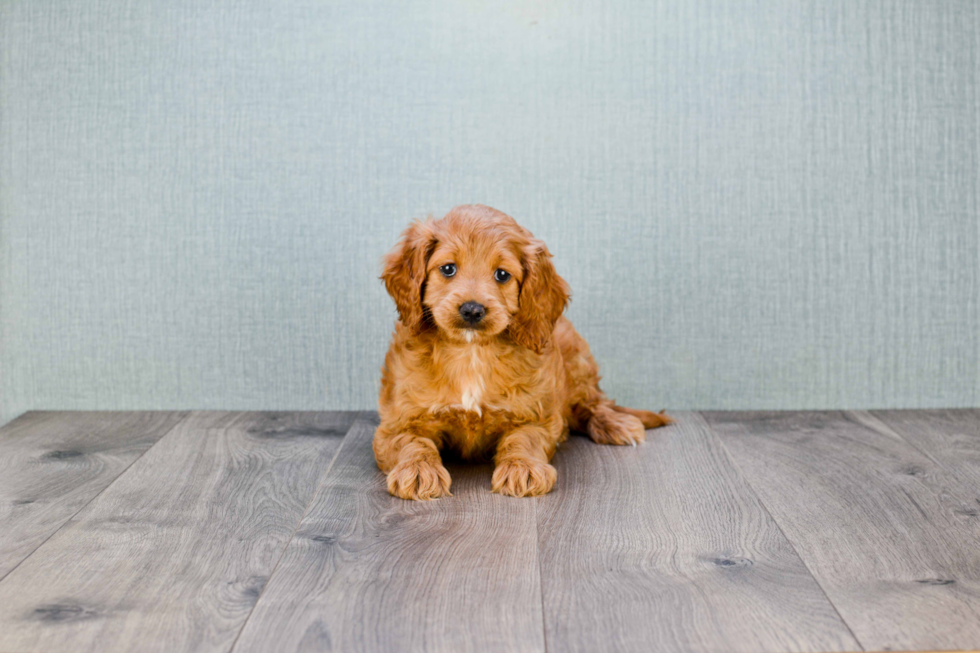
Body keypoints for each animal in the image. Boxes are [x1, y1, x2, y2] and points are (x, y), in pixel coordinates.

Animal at [372, 205, 668, 500]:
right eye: (447, 269)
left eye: (502, 274)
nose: (472, 310)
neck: (471, 352)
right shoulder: (396, 423)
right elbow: (412, 442)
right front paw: (418, 470)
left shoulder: (538, 417)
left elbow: (523, 439)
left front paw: (522, 467)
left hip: (578, 364)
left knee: (593, 403)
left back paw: (616, 424)